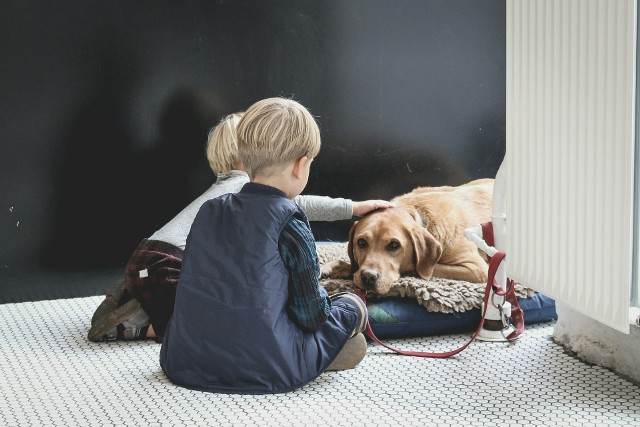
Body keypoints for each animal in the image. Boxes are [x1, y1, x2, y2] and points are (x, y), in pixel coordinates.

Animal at [324, 179, 496, 296]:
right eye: (361, 242)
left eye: (394, 245)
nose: (368, 277)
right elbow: (353, 267)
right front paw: (334, 267)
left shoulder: (477, 269)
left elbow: (418, 268)